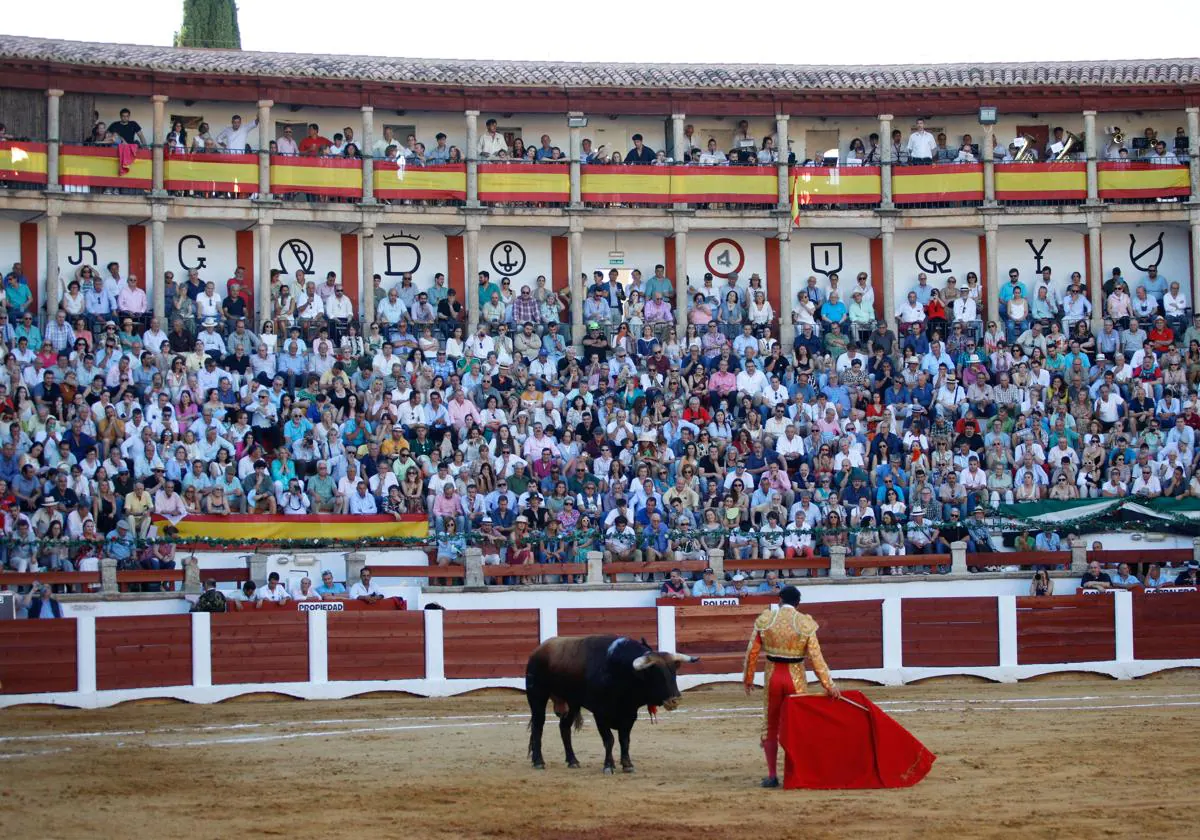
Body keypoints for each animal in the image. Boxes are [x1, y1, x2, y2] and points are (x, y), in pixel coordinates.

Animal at [523, 638, 700, 772]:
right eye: (656, 674)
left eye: (673, 672)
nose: (675, 700)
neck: (620, 671)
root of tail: (538, 651)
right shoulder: (600, 714)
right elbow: (609, 739)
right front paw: (609, 765)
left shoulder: (629, 714)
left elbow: (624, 739)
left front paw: (627, 764)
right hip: (537, 695)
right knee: (538, 726)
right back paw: (539, 762)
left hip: (572, 703)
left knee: (564, 728)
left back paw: (573, 761)